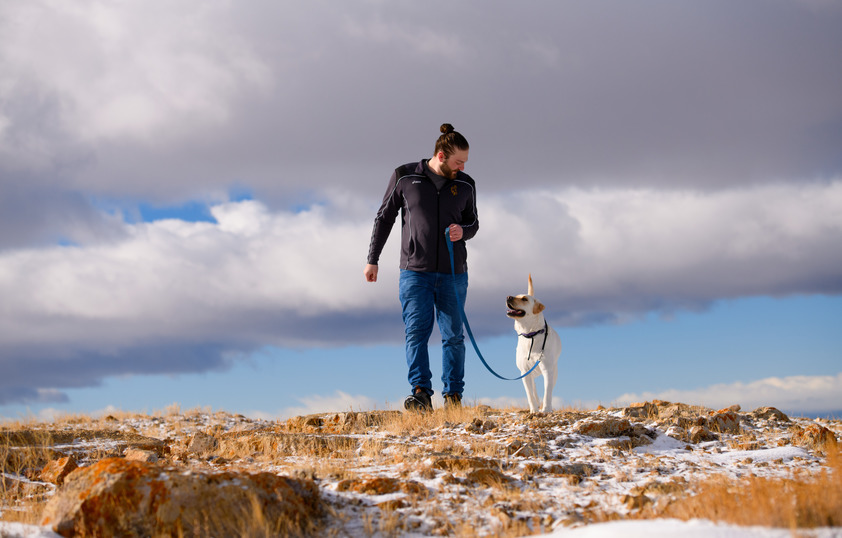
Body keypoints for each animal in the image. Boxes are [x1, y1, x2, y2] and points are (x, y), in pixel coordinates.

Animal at [506, 274, 556, 412]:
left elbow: (547, 392)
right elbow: (530, 394)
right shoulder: (524, 372)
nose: (508, 296)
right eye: (516, 295)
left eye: (524, 299)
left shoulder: (547, 370)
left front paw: (546, 409)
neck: (530, 334)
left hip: (554, 371)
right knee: (533, 389)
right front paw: (534, 410)